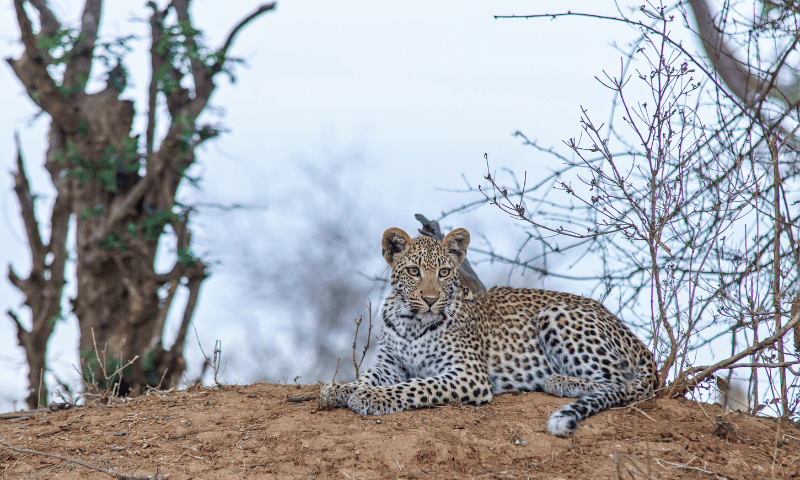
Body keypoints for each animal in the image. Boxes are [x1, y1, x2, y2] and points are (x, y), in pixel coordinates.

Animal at [320, 227, 657, 437]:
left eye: (444, 272)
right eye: (414, 271)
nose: (430, 299)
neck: (412, 322)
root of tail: (637, 341)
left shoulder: (468, 375)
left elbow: (414, 386)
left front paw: (371, 397)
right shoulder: (390, 363)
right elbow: (367, 376)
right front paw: (341, 388)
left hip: (557, 314)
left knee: (626, 385)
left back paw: (560, 381)